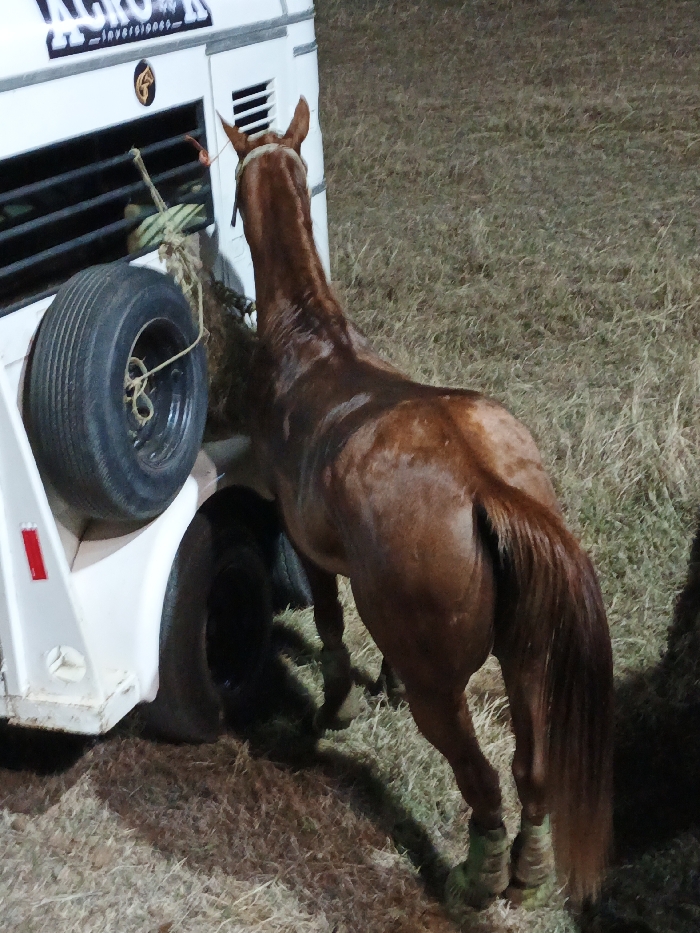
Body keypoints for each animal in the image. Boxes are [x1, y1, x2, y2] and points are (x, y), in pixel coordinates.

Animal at [219, 99, 614, 909]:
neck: (311, 338)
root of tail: (484, 481)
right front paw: (382, 686)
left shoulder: (306, 542)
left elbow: (331, 622)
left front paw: (337, 703)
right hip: (528, 656)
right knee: (531, 771)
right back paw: (527, 870)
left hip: (449, 691)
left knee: (482, 779)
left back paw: (473, 877)